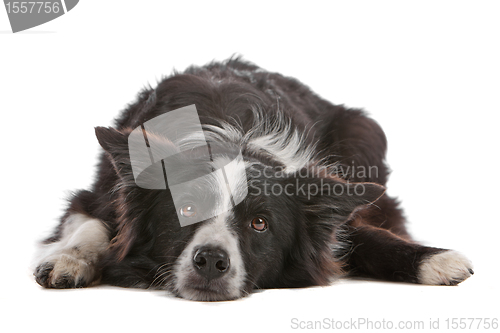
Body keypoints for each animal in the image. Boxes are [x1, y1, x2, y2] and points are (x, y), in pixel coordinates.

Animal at [34, 57, 472, 300]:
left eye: (260, 224)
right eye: (186, 210)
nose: (211, 260)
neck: (230, 137)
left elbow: (369, 237)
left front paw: (437, 259)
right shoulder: (100, 194)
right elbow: (90, 226)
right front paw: (68, 259)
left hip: (364, 130)